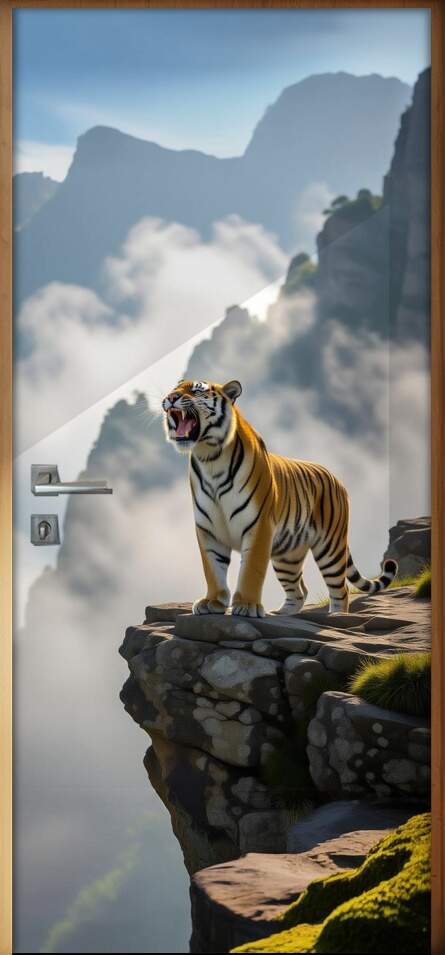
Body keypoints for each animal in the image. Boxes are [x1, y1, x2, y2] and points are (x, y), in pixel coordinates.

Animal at [162, 378, 397, 618]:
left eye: (196, 390)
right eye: (174, 388)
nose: (170, 398)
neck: (210, 458)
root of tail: (336, 478)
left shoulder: (259, 526)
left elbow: (251, 571)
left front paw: (247, 606)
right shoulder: (209, 530)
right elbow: (212, 569)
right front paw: (212, 602)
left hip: (330, 547)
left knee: (340, 590)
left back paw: (337, 616)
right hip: (287, 555)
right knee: (299, 591)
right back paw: (282, 614)